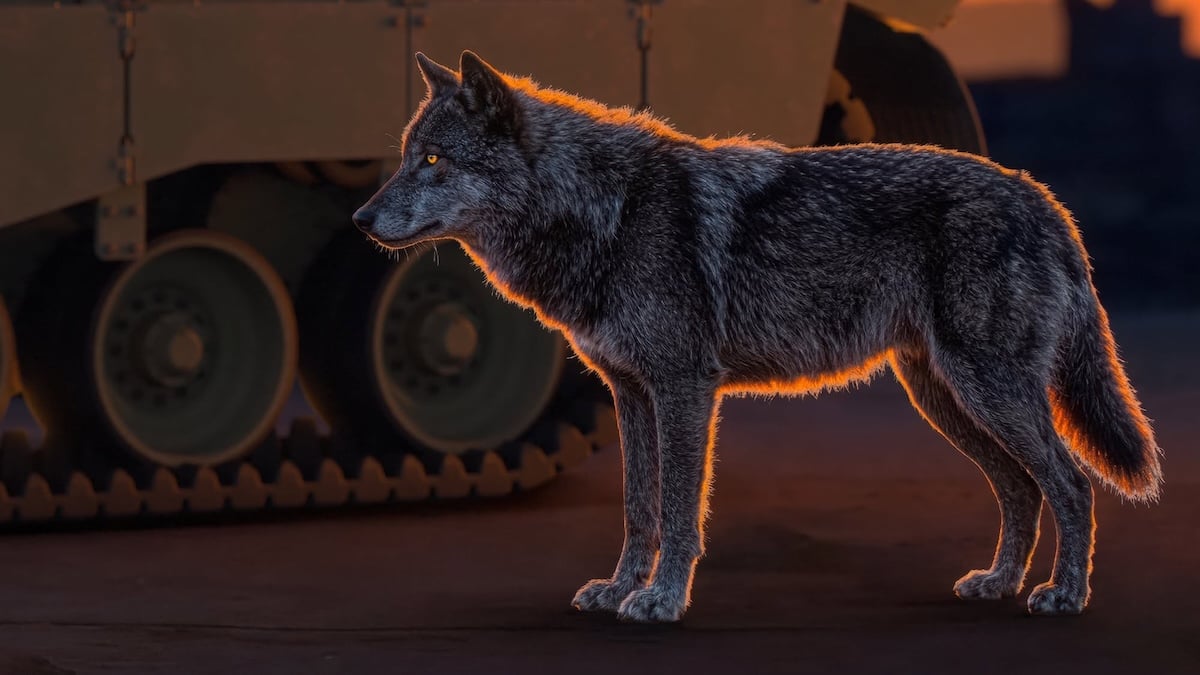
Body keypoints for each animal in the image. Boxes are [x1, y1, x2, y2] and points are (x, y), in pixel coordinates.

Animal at [353, 51, 1162, 623]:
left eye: (433, 161)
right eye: (405, 157)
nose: (361, 219)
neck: (603, 211)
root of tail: (1044, 197)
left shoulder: (684, 387)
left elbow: (680, 508)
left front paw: (662, 601)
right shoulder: (631, 394)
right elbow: (638, 507)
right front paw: (619, 590)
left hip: (985, 393)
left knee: (1071, 483)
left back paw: (1064, 597)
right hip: (946, 400)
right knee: (1022, 489)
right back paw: (999, 583)